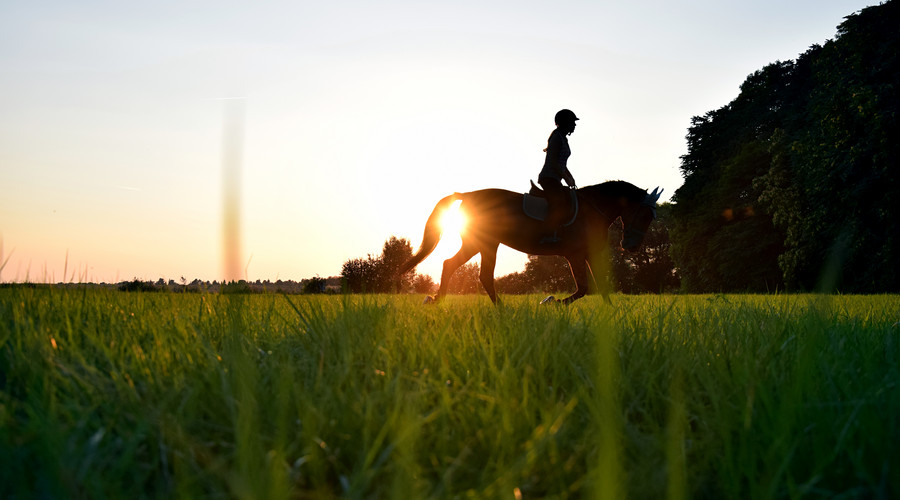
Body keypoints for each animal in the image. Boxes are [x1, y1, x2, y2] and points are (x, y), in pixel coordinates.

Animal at [400, 181, 660, 304]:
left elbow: (601, 287)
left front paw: (611, 315)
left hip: (480, 245)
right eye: (644, 214)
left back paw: (439, 301)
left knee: (455, 266)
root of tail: (467, 195)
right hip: (484, 244)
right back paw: (500, 309)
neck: (592, 209)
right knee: (476, 273)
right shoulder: (575, 255)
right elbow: (583, 288)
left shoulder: (589, 254)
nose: (632, 247)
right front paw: (552, 303)